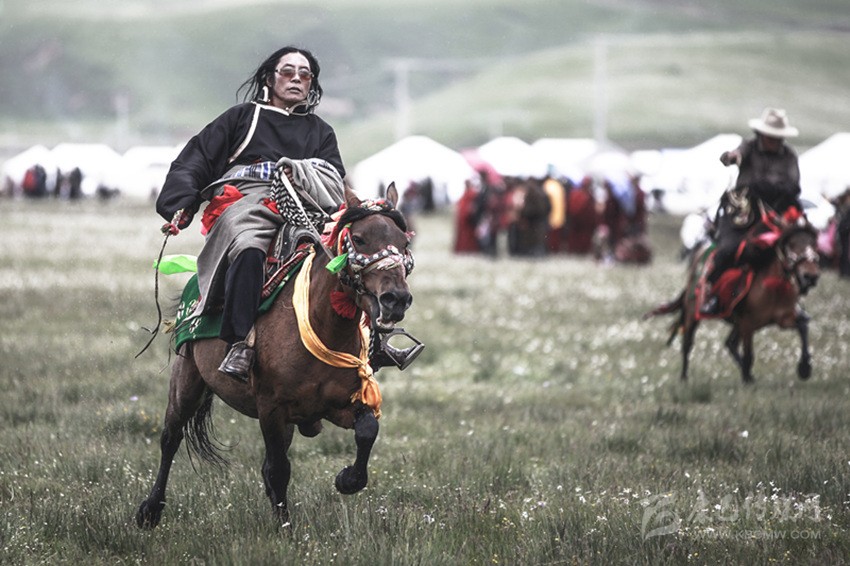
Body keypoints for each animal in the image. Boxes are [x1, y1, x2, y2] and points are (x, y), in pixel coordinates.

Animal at [137, 184, 416, 529]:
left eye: (404, 242)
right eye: (360, 238)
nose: (396, 299)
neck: (323, 324)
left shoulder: (339, 405)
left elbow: (367, 431)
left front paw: (347, 479)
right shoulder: (271, 408)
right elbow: (278, 469)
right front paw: (285, 527)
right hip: (188, 379)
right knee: (171, 437)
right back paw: (150, 510)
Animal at [644, 210, 820, 383]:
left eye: (813, 245)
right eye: (791, 245)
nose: (810, 277)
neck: (773, 287)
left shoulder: (782, 318)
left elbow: (803, 326)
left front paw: (805, 368)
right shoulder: (748, 324)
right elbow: (749, 355)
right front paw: (747, 379)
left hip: (736, 323)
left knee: (730, 343)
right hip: (692, 315)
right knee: (688, 344)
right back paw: (684, 378)